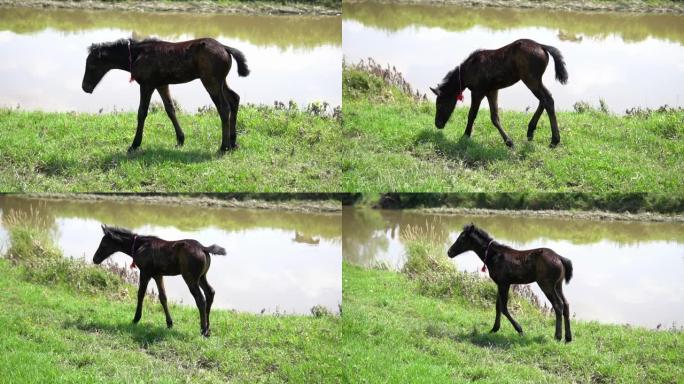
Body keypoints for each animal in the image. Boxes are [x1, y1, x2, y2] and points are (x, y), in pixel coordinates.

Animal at [93, 225, 227, 336]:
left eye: (104, 244)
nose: (95, 259)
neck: (138, 246)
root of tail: (204, 248)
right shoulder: (158, 275)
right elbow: (163, 297)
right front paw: (169, 323)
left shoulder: (145, 272)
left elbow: (141, 294)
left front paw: (136, 319)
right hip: (202, 276)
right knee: (210, 292)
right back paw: (208, 328)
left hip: (190, 277)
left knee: (200, 299)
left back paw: (203, 330)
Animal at [430, 39, 568, 147]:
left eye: (440, 104)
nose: (438, 124)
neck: (467, 70)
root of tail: (542, 46)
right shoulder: (492, 90)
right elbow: (495, 117)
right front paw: (509, 142)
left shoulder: (478, 91)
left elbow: (472, 114)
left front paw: (466, 135)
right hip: (535, 80)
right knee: (544, 100)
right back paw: (530, 132)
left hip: (531, 79)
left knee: (547, 100)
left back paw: (554, 140)